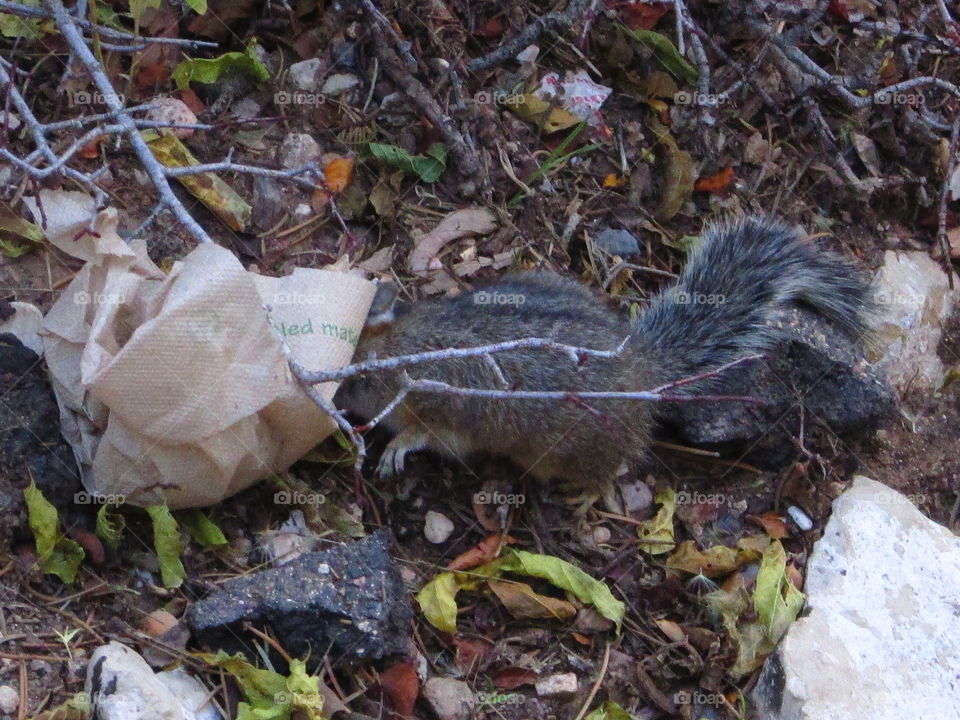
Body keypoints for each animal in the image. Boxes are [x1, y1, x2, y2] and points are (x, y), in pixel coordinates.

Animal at [334, 216, 872, 491]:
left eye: (359, 382)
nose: (334, 404)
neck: (411, 345)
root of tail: (642, 367)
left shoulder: (448, 417)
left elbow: (427, 436)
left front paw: (397, 450)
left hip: (564, 454)